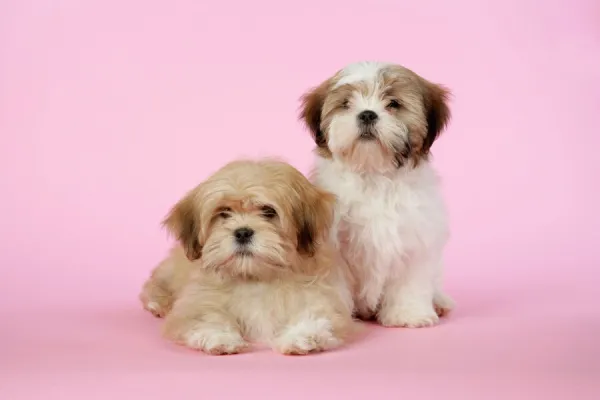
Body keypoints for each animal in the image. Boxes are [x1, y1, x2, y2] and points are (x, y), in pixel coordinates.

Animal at [139, 159, 356, 356]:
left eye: (268, 211)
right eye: (224, 212)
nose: (242, 232)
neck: (255, 277)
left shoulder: (322, 297)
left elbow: (319, 317)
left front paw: (301, 337)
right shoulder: (197, 300)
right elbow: (204, 317)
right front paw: (221, 337)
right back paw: (157, 303)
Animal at [298, 61, 458, 326]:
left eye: (393, 103)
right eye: (346, 103)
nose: (367, 114)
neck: (373, 175)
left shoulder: (415, 238)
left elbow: (410, 280)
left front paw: (409, 314)